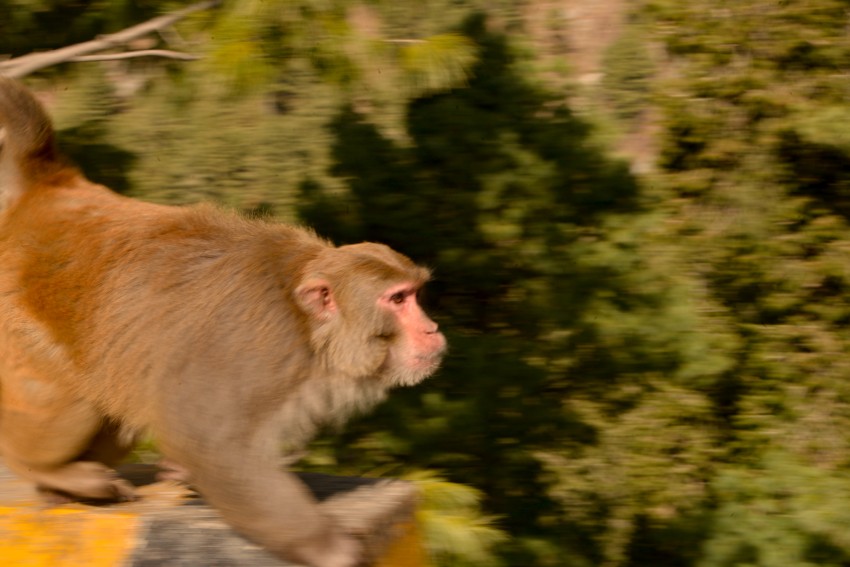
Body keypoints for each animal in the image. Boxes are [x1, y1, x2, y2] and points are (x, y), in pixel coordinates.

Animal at [0, 77, 446, 567]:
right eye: (397, 299)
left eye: (414, 295)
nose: (431, 329)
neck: (307, 325)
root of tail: (47, 194)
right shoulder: (257, 346)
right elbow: (211, 442)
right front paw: (330, 549)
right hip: (18, 321)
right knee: (73, 396)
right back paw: (49, 471)